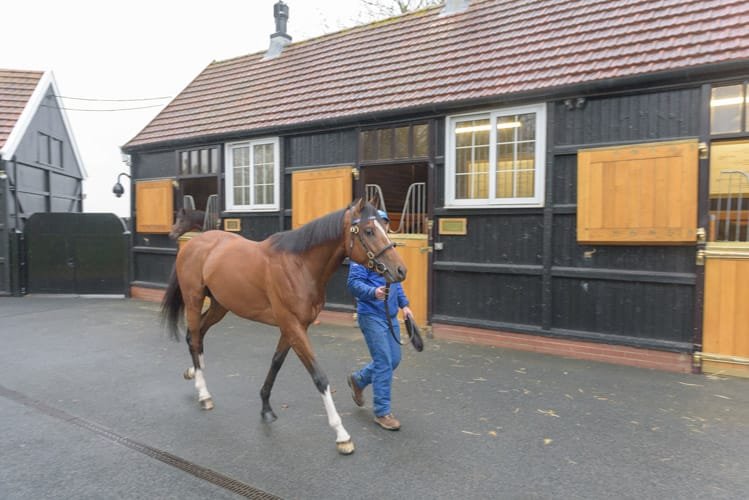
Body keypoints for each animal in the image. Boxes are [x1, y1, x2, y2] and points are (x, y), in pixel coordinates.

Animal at [160, 199, 407, 455]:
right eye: (368, 231)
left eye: (384, 228)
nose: (400, 270)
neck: (300, 265)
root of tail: (193, 243)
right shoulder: (292, 325)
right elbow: (319, 376)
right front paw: (341, 435)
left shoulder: (294, 327)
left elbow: (276, 363)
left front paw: (266, 407)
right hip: (194, 300)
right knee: (195, 337)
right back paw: (203, 393)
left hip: (220, 305)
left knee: (196, 336)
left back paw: (194, 373)